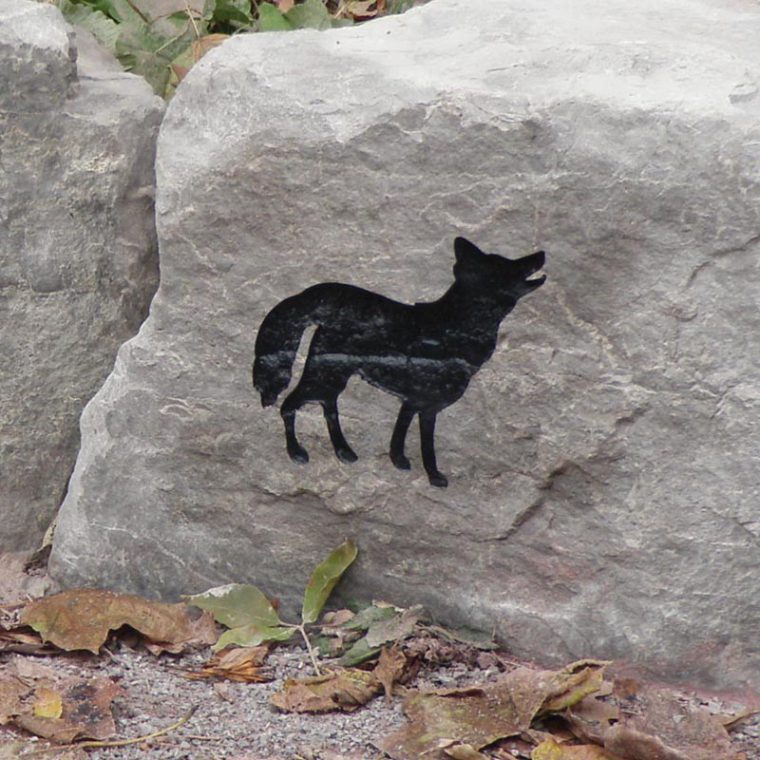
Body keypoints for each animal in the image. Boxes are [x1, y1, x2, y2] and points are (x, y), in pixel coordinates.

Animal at [253, 237, 546, 487]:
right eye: (507, 266)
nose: (542, 253)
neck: (454, 329)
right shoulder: (426, 405)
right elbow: (426, 447)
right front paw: (434, 477)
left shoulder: (414, 402)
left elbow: (400, 434)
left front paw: (400, 462)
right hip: (324, 377)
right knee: (290, 405)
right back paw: (297, 453)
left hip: (332, 378)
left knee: (328, 408)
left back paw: (344, 452)